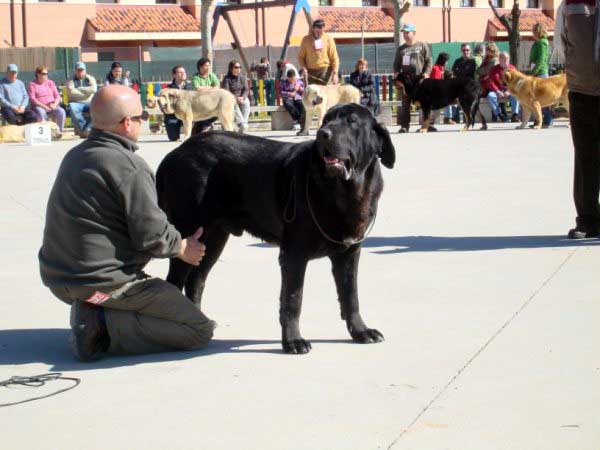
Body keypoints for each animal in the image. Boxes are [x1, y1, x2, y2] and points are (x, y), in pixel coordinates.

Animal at [157, 103, 396, 354]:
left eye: (351, 122)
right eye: (325, 121)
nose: (323, 134)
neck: (345, 191)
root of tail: (174, 154)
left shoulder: (350, 253)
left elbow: (351, 295)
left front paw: (360, 331)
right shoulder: (294, 254)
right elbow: (293, 299)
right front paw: (293, 341)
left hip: (212, 238)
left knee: (196, 280)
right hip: (188, 233)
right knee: (174, 282)